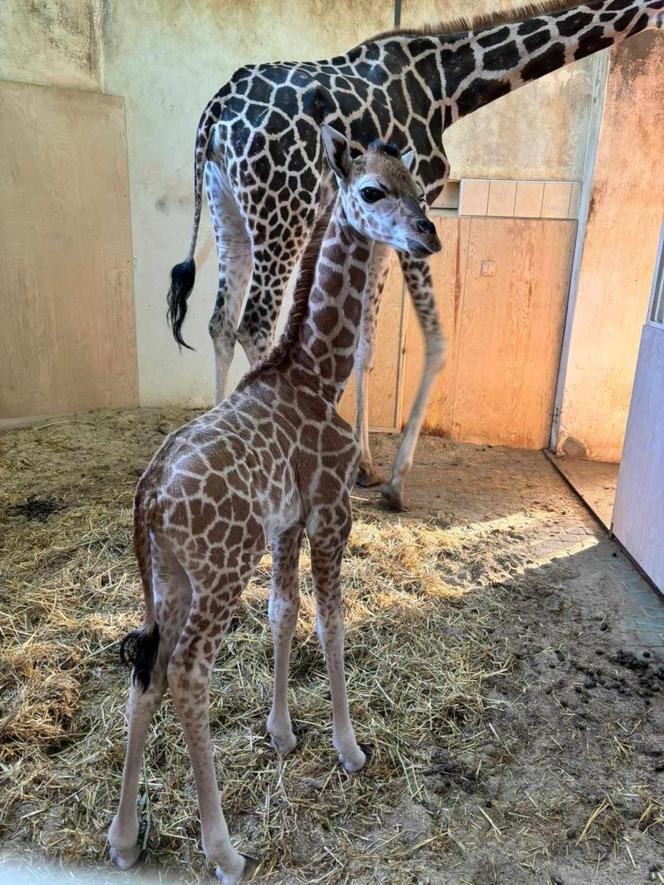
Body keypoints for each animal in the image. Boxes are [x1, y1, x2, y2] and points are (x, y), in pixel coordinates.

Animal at [109, 126, 440, 884]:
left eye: (419, 186)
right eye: (372, 190)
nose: (428, 234)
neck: (317, 370)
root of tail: (149, 497)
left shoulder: (287, 522)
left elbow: (284, 612)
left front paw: (284, 733)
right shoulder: (332, 510)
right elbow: (332, 620)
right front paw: (350, 749)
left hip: (171, 578)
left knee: (147, 668)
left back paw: (125, 837)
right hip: (219, 571)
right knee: (187, 673)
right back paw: (224, 848)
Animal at [167, 0, 664, 508]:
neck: (448, 87)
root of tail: (216, 111)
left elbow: (366, 346)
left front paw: (365, 466)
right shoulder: (412, 213)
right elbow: (432, 340)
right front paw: (391, 478)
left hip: (229, 210)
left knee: (220, 322)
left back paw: (213, 444)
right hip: (282, 211)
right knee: (255, 323)